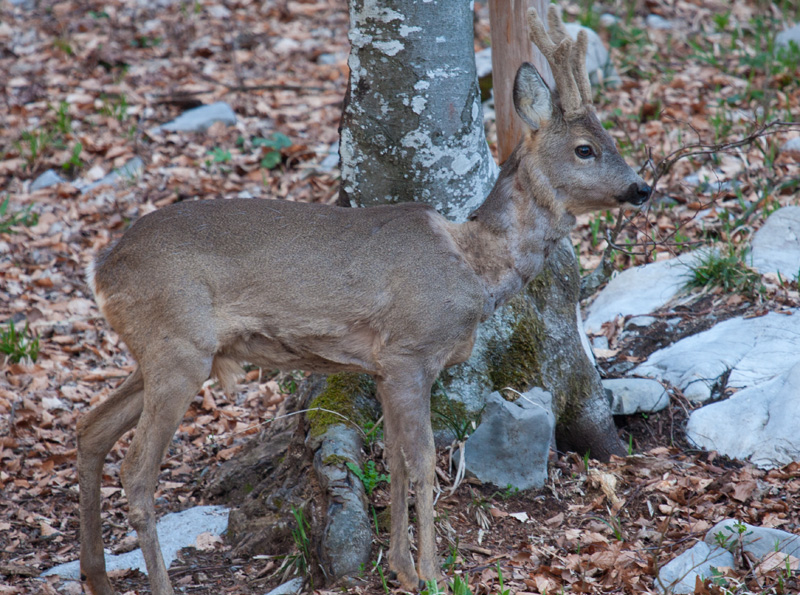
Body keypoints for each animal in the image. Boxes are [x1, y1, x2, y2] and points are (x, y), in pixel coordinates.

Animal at [76, 5, 648, 595]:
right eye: (585, 149)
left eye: (613, 140)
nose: (642, 188)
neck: (474, 266)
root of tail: (102, 268)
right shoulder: (409, 352)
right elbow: (422, 461)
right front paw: (432, 573)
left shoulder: (381, 367)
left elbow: (394, 460)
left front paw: (400, 568)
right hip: (179, 346)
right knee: (136, 472)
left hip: (166, 350)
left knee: (90, 429)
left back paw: (96, 575)